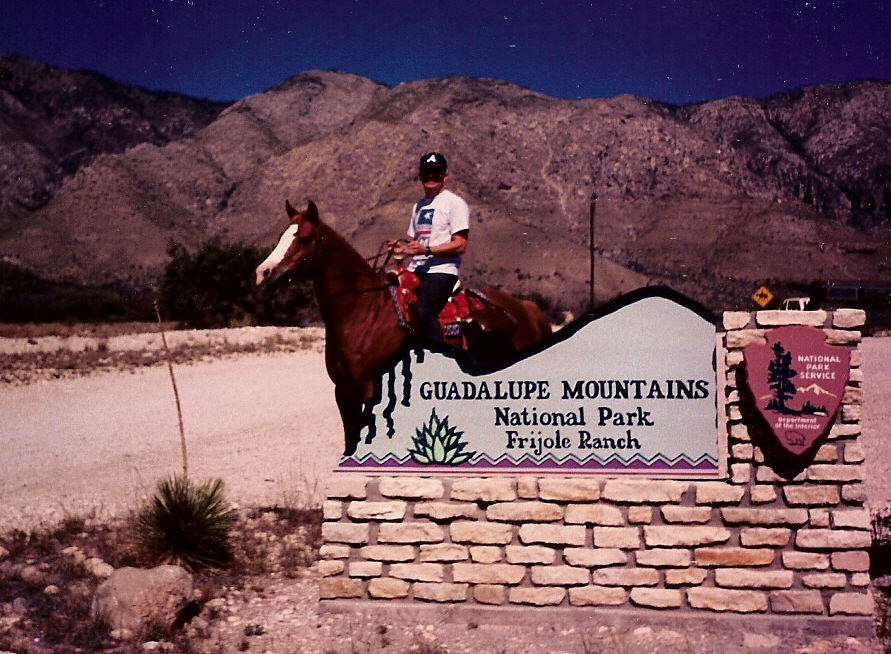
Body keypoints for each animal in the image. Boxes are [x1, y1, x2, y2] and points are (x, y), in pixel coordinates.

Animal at [254, 200, 556, 456]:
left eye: (303, 238)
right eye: (281, 236)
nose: (263, 272)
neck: (364, 312)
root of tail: (528, 309)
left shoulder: (369, 389)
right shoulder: (344, 392)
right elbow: (351, 441)